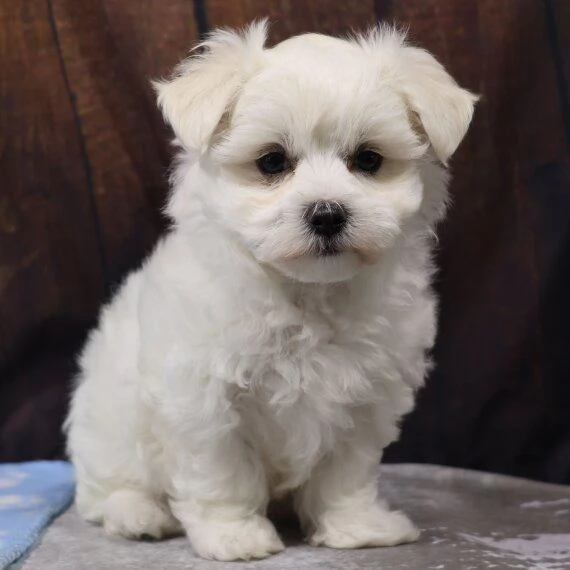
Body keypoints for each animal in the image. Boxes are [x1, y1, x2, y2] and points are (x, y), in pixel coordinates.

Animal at [65, 22, 474, 560]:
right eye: (272, 162)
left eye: (368, 160)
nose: (327, 213)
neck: (306, 293)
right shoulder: (203, 398)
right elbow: (222, 474)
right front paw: (233, 535)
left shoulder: (364, 399)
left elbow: (346, 474)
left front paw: (357, 528)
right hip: (109, 428)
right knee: (107, 491)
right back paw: (139, 516)